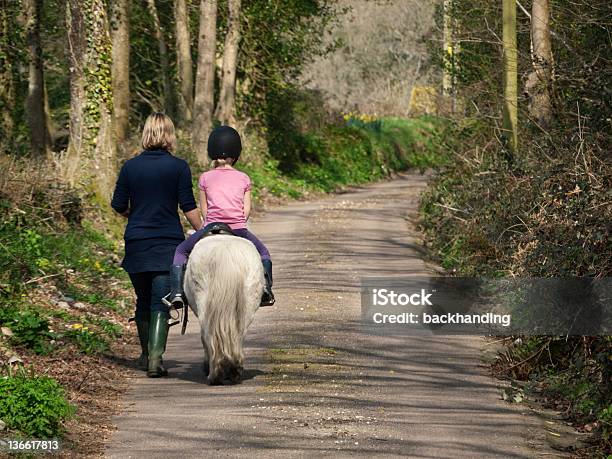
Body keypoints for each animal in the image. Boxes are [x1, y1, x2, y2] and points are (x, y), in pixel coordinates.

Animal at [184, 235, 266, 386]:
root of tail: (226, 253)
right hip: (248, 305)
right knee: (238, 334)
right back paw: (234, 371)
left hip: (204, 306)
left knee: (207, 334)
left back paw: (214, 374)